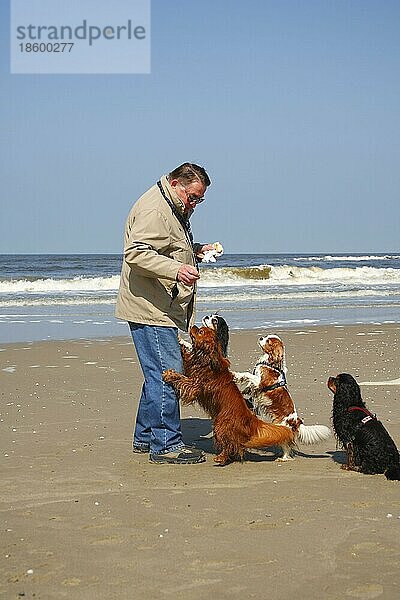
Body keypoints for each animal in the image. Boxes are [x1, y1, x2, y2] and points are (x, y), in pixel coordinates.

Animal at [233, 332, 330, 460]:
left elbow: (248, 375)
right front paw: (241, 384)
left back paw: (283, 458)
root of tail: (296, 420)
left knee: (287, 446)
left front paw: (236, 375)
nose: (261, 337)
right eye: (265, 337)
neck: (269, 363)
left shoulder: (260, 382)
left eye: (268, 341)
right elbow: (248, 384)